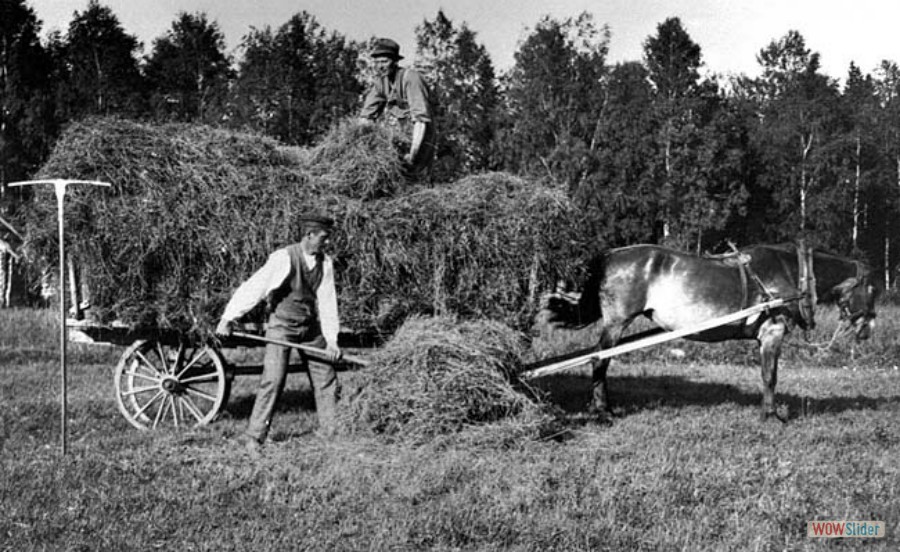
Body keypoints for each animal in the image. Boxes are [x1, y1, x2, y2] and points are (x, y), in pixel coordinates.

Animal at [536, 243, 876, 422]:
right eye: (872, 289)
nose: (868, 329)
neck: (793, 275)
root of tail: (609, 256)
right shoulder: (772, 332)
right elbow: (770, 376)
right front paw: (771, 414)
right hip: (616, 323)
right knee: (599, 360)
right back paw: (603, 410)